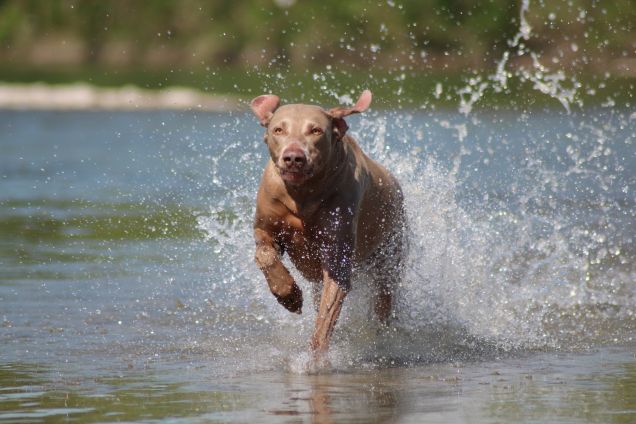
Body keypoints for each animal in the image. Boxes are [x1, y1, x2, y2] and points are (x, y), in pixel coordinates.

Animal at [248, 91, 402, 356]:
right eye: (278, 129)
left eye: (316, 130)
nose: (293, 158)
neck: (302, 195)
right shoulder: (266, 225)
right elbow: (265, 255)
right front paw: (288, 295)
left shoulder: (337, 252)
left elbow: (327, 312)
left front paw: (316, 355)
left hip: (389, 253)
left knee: (384, 295)